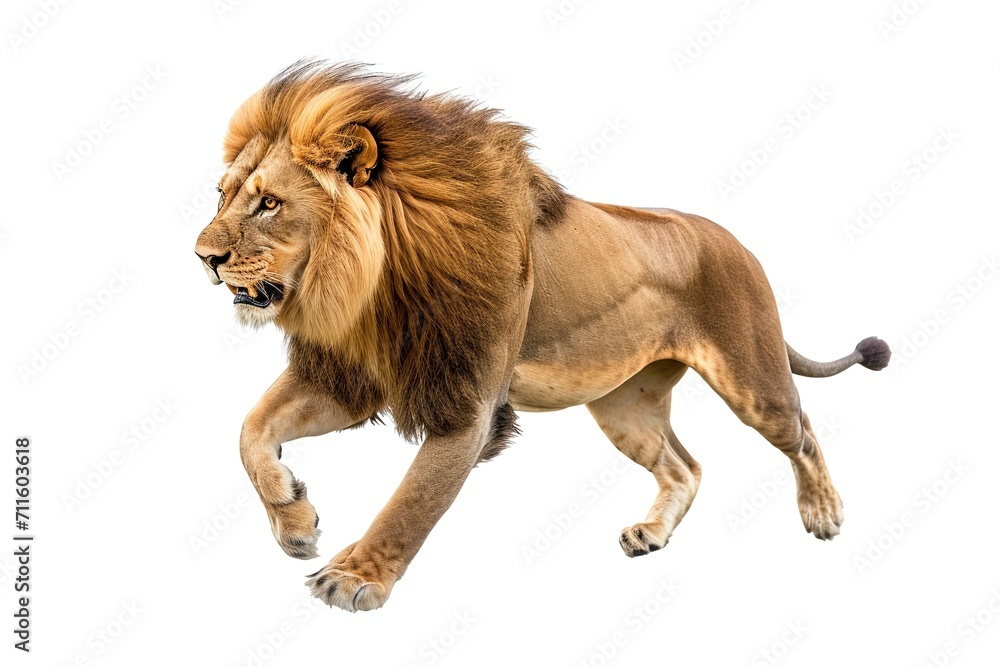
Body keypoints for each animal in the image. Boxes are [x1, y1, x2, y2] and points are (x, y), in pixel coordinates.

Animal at [194, 61, 890, 612]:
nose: (203, 257)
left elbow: (412, 501)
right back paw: (650, 534)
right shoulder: (358, 374)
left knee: (801, 429)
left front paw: (352, 577)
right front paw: (294, 520)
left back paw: (823, 511)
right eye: (224, 196)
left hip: (751, 377)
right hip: (624, 405)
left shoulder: (467, 402)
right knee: (685, 466)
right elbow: (250, 431)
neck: (371, 286)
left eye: (269, 204)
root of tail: (738, 242)